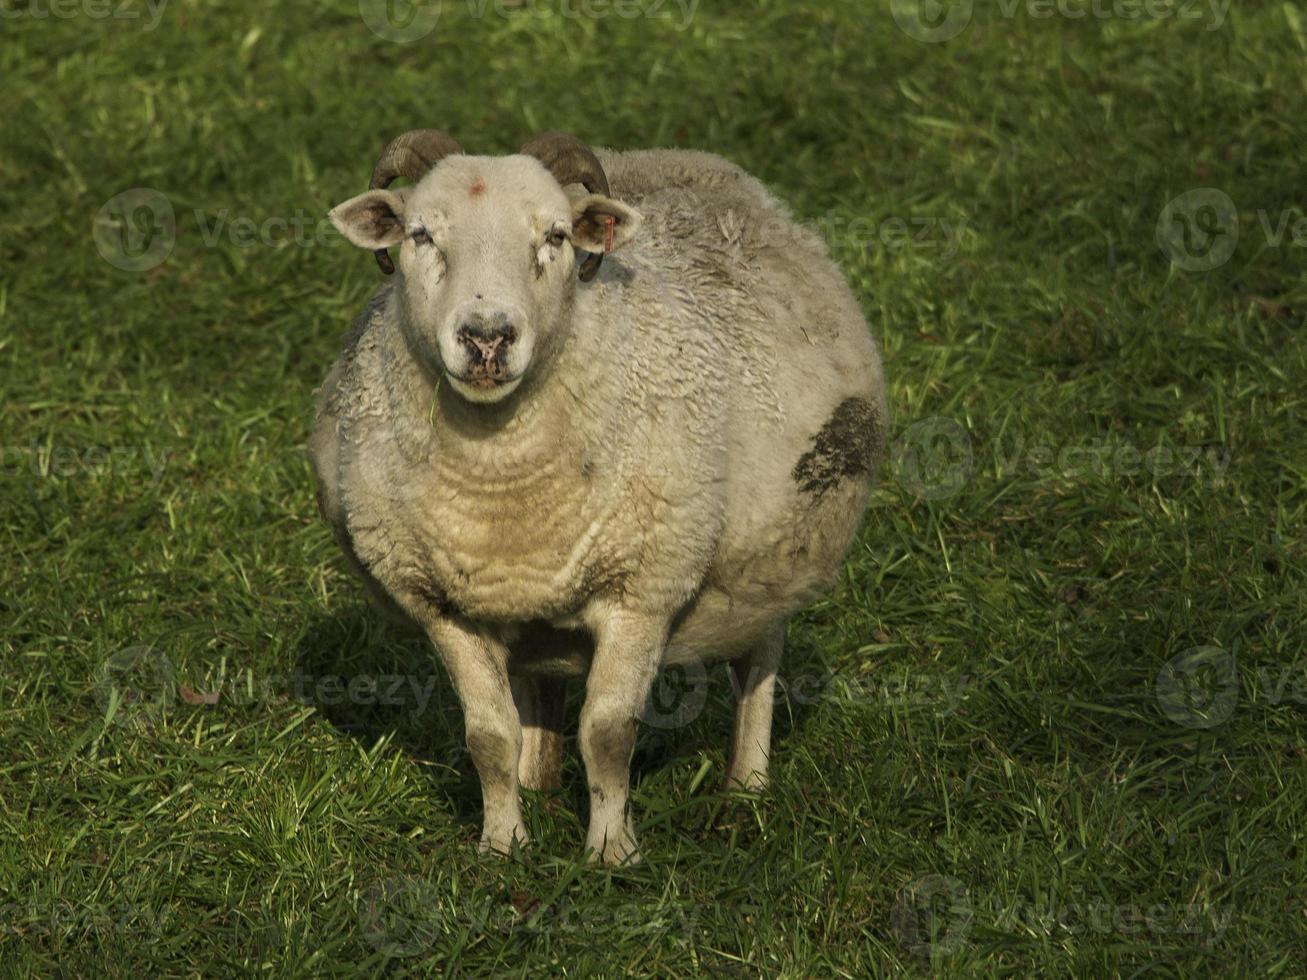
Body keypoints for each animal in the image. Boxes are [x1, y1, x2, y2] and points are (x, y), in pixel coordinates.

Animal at [313, 130, 888, 867]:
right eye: (421, 234)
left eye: (555, 237)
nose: (486, 337)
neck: (501, 482)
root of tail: (671, 154)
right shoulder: (444, 606)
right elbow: (488, 736)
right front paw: (503, 845)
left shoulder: (641, 590)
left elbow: (609, 733)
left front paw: (612, 853)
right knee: (541, 682)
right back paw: (540, 780)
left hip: (768, 563)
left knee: (758, 661)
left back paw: (747, 784)